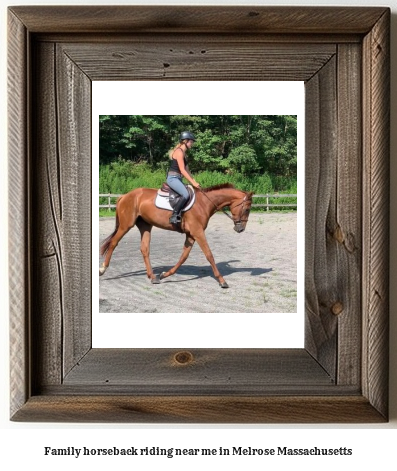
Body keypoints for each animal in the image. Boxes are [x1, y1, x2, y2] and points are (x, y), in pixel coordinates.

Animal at [99, 183, 254, 288]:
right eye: (247, 209)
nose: (241, 229)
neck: (204, 203)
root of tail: (125, 196)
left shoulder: (191, 234)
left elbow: (183, 257)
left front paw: (164, 275)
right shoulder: (198, 232)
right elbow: (209, 255)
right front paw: (222, 281)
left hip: (145, 226)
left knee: (144, 249)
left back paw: (153, 277)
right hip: (126, 225)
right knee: (113, 243)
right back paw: (102, 269)